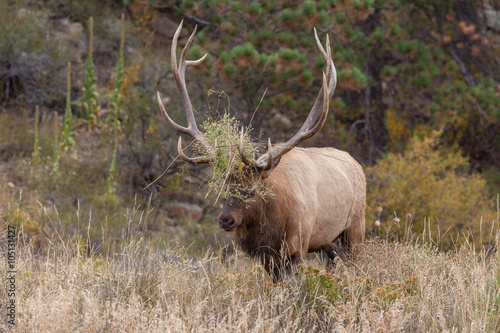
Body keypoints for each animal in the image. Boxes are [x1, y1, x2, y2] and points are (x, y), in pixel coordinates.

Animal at [158, 20, 366, 280]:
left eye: (251, 191)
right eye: (225, 189)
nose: (226, 220)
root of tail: (356, 163)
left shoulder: (298, 245)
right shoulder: (266, 256)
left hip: (356, 226)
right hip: (329, 242)